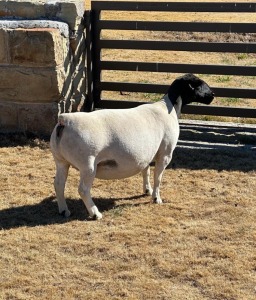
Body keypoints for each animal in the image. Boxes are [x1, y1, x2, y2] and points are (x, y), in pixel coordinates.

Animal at [50, 72, 214, 218]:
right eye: (198, 83)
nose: (212, 95)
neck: (169, 108)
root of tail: (64, 120)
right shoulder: (165, 153)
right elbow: (158, 177)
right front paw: (156, 198)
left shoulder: (147, 153)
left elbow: (146, 171)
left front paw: (147, 190)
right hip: (87, 164)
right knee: (83, 190)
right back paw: (95, 214)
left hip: (60, 160)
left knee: (58, 184)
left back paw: (63, 210)